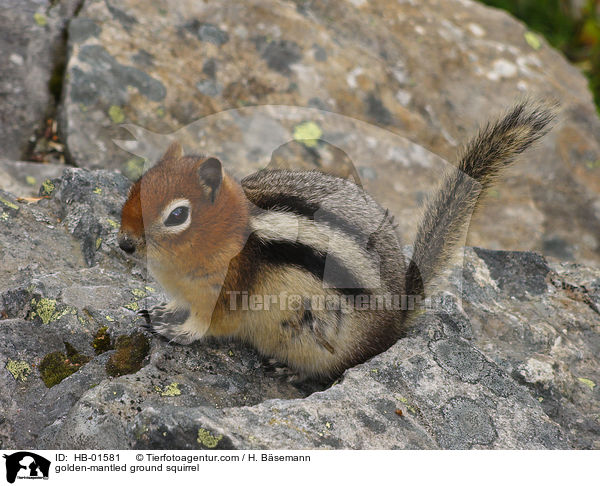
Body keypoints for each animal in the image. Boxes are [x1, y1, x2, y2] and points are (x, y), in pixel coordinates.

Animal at [119, 101, 556, 380]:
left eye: (177, 215)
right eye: (138, 184)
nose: (124, 243)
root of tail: (397, 320)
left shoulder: (227, 292)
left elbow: (207, 324)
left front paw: (180, 331)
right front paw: (161, 311)